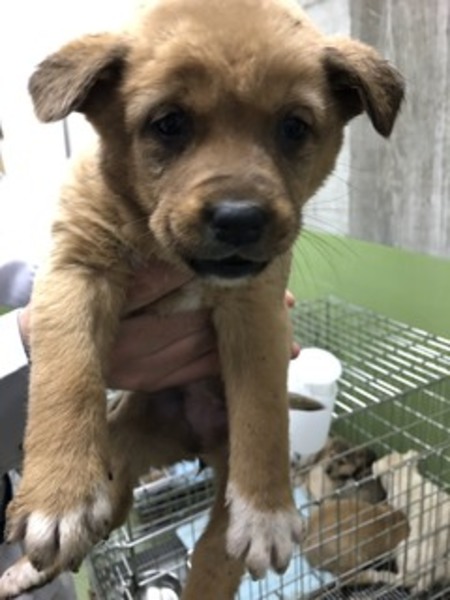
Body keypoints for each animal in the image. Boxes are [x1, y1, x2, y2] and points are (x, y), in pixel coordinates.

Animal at [0, 0, 404, 597]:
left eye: (294, 127)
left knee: (212, 559)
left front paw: (267, 510)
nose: (240, 219)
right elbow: (65, 376)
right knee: (102, 517)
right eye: (168, 124)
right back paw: (30, 565)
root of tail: (186, 446)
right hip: (117, 452)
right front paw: (59, 497)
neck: (161, 247)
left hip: (217, 508)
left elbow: (263, 409)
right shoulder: (74, 270)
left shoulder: (256, 305)